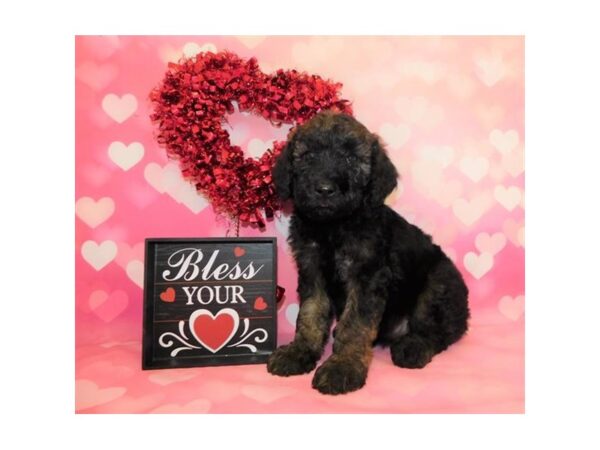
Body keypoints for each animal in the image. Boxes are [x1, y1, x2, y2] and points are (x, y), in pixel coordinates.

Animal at [268, 111, 468, 394]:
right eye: (308, 156)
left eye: (351, 158)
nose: (325, 189)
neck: (333, 227)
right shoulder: (312, 270)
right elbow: (310, 314)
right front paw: (299, 352)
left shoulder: (367, 277)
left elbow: (356, 325)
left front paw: (343, 367)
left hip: (439, 281)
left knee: (435, 329)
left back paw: (413, 347)